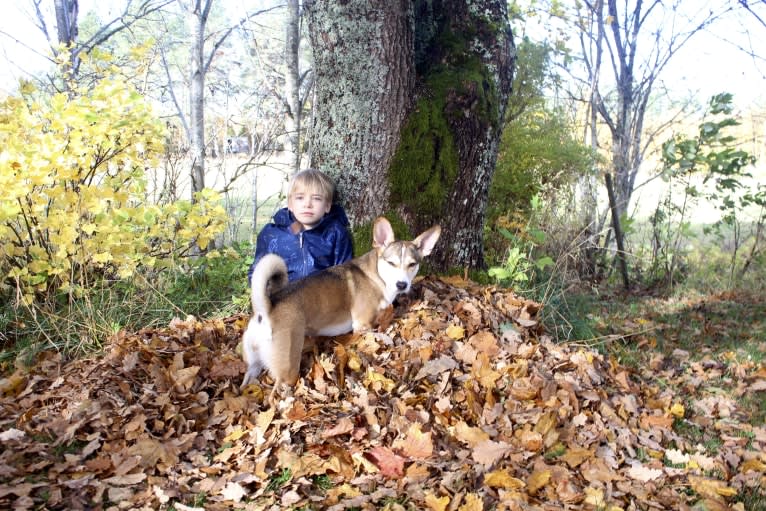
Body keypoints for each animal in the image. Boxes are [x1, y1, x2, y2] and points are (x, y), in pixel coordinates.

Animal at [240, 216, 444, 404]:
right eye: (391, 263)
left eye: (412, 264)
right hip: (288, 367)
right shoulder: (363, 324)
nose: (402, 285)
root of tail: (266, 309)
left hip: (254, 364)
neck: (376, 275)